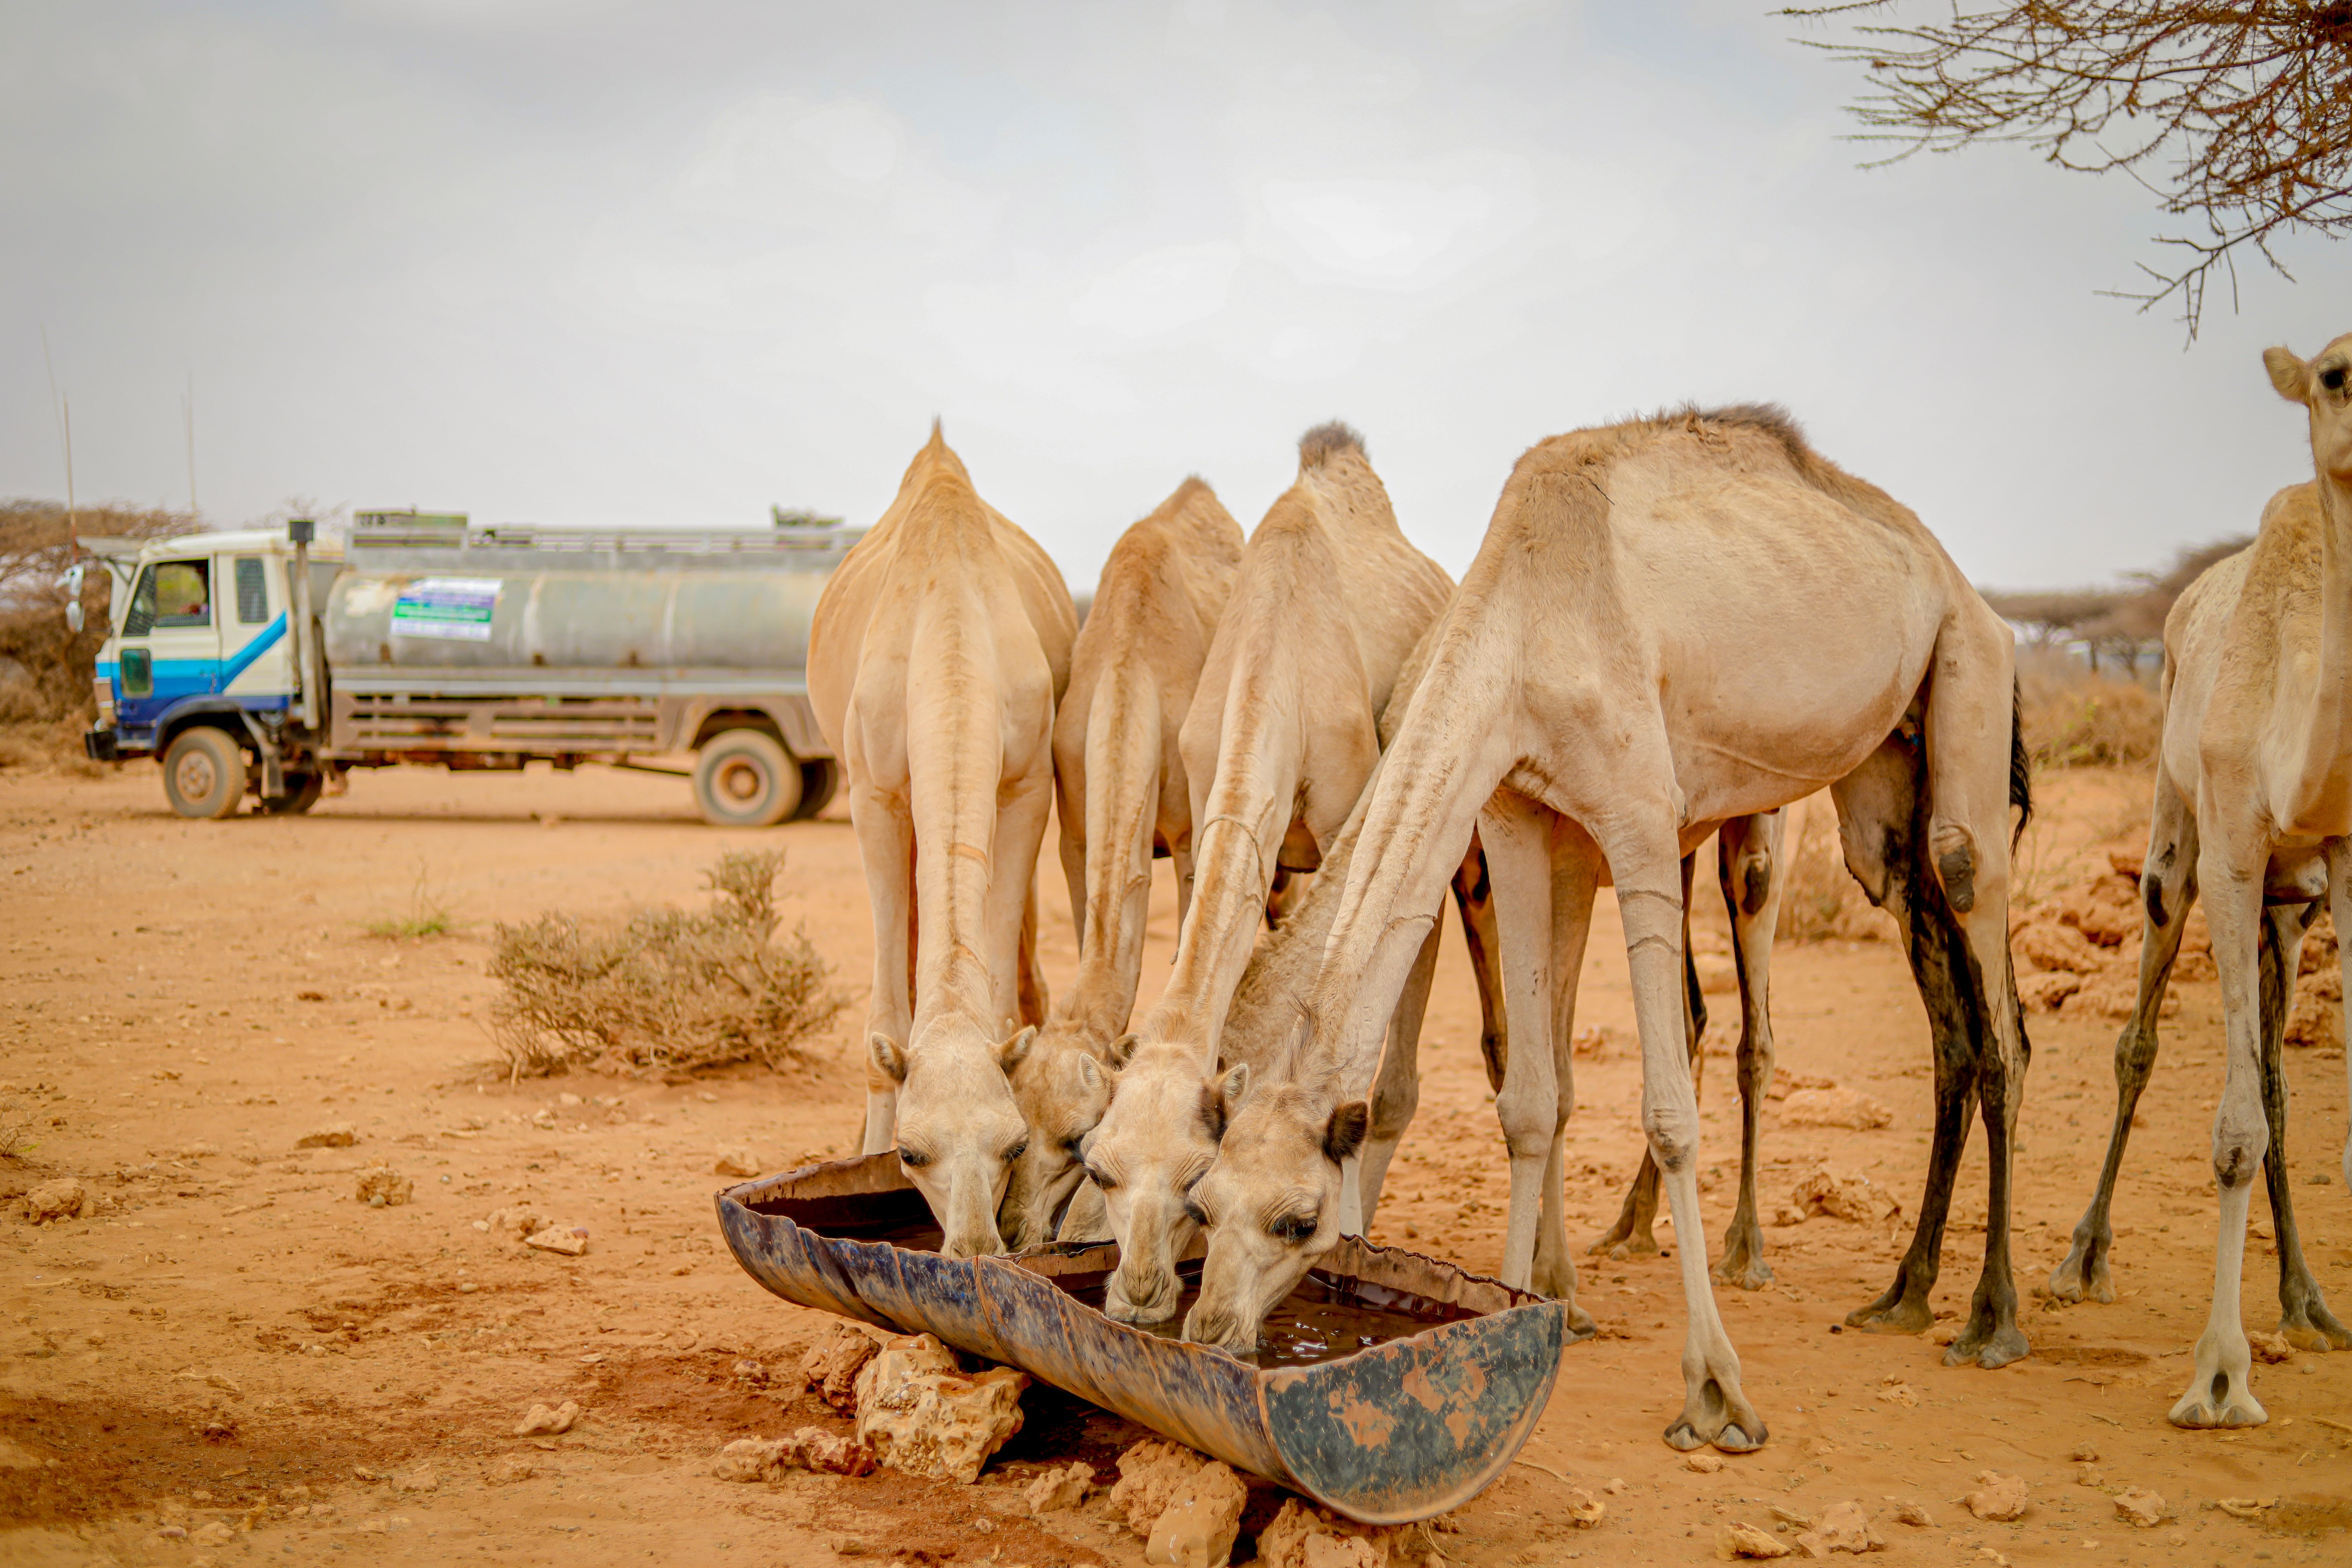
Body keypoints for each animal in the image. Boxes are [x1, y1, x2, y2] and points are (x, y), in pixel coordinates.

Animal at [805, 424, 1077, 1259]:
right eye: (911, 1153)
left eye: (1014, 1144)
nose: (974, 1246)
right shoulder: (873, 794)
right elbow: (887, 1016)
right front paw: (862, 1151)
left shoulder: (1027, 784)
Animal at [997, 478, 1244, 1250]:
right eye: (1018, 1127)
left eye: (1078, 1140)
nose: (1016, 1229)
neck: (1133, 674)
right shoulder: (1078, 833)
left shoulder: (1194, 833)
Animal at [1080, 423, 1457, 1322]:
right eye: (1098, 1166)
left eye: (1194, 1180)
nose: (1139, 1298)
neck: (1275, 664)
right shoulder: (1204, 809)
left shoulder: (1356, 799)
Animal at [1181, 406, 2032, 1455]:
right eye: (1207, 1200)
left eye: (1299, 1220)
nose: (1208, 1328)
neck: (1523, 623)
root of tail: (1967, 586)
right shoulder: (1513, 811)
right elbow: (1529, 1100)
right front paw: (1513, 1312)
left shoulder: (1638, 817)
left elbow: (1667, 1116)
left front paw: (1715, 1394)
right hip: (1887, 776)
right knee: (1936, 977)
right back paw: (1904, 1295)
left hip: (1969, 670)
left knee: (1986, 958)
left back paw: (1991, 1317)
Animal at [2047, 335, 2352, 1428]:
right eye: (2337, 375)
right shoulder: (2228, 851)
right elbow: (2230, 1129)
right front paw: (2220, 1376)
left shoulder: (2336, 868)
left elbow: (2280, 1103)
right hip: (2174, 851)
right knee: (2138, 1044)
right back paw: (2083, 1256)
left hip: (2287, 916)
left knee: (2276, 1080)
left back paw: (2306, 1297)